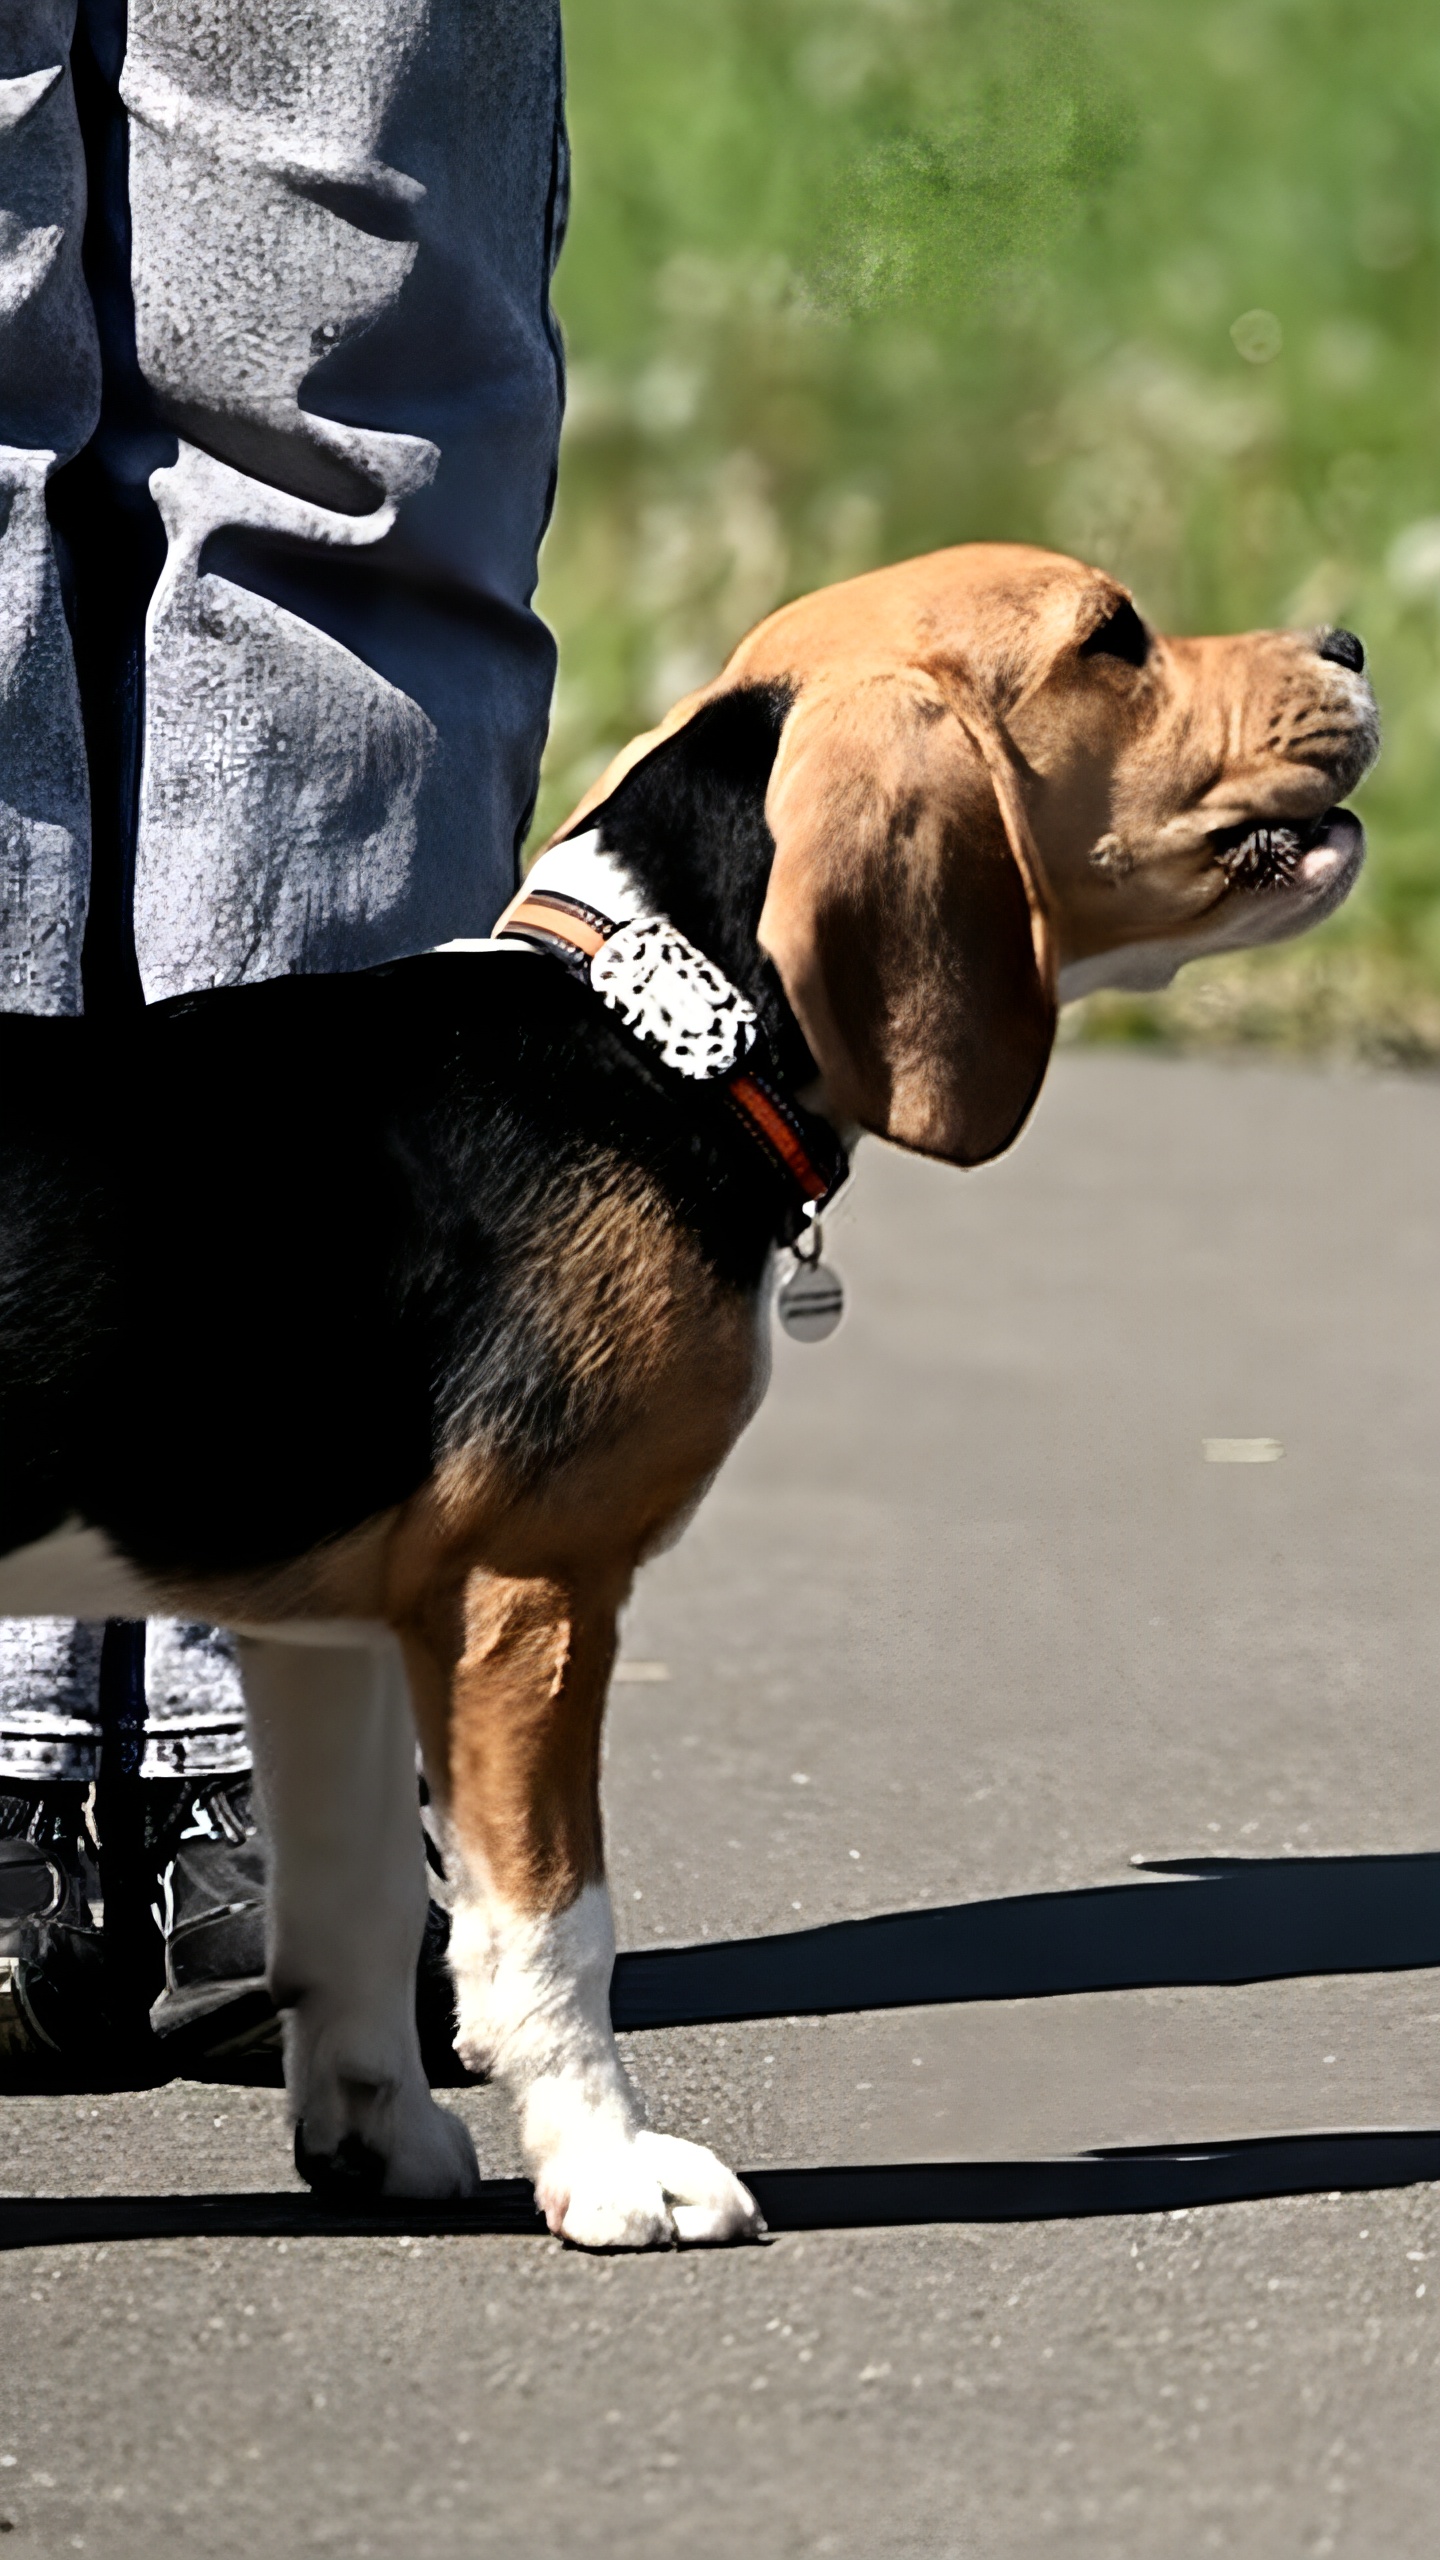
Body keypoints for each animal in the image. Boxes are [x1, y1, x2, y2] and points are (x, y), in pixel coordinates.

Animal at [0, 545, 1363, 2242]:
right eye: (1112, 639)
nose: (1352, 642)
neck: (650, 1035)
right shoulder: (529, 1595)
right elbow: (551, 1927)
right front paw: (609, 2169)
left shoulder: (331, 1633)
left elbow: (359, 1905)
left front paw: (380, 2139)